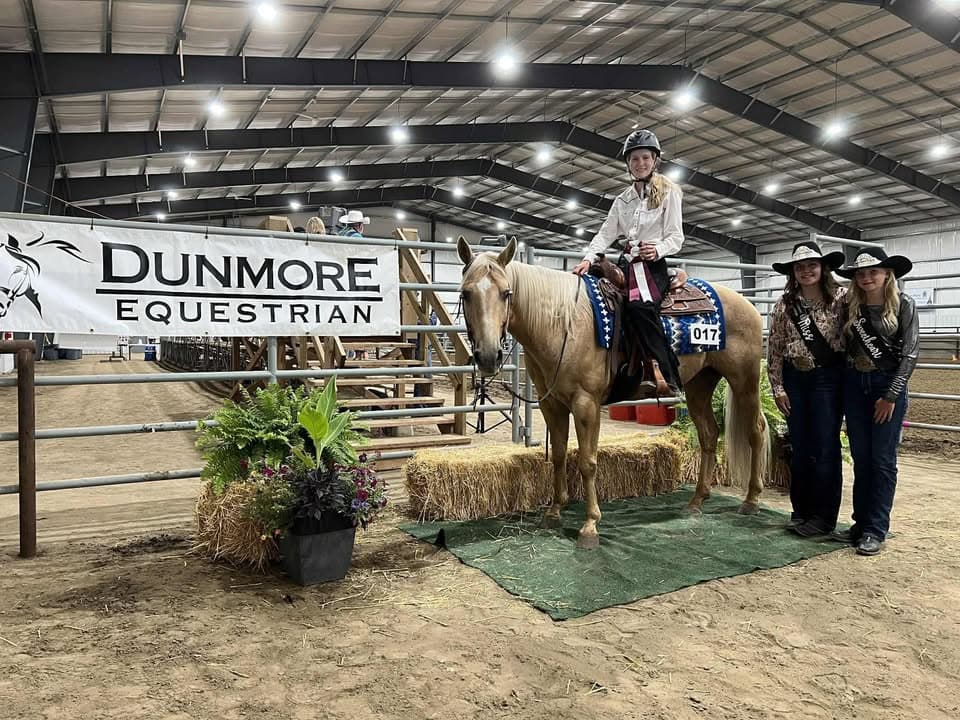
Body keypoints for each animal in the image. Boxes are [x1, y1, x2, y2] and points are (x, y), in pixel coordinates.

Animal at [457, 236, 768, 549]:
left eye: (506, 293)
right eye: (466, 293)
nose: (488, 356)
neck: (564, 323)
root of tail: (746, 304)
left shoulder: (586, 404)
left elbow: (587, 462)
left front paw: (590, 525)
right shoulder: (552, 405)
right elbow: (558, 456)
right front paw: (554, 511)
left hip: (745, 381)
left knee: (755, 431)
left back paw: (752, 499)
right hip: (699, 385)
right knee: (708, 435)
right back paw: (697, 501)